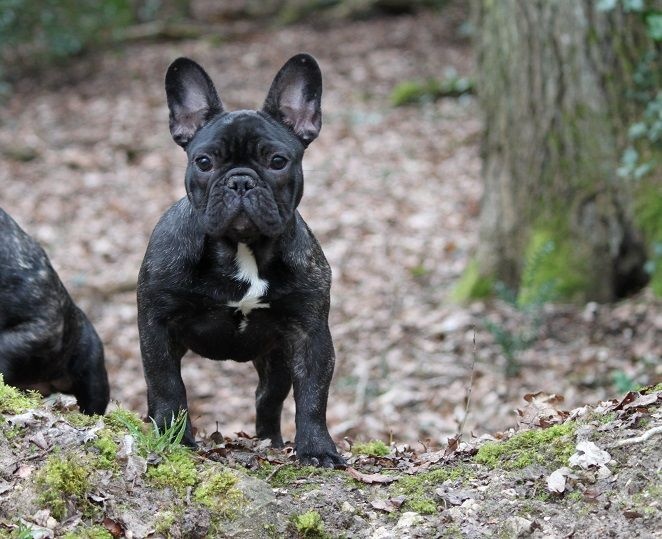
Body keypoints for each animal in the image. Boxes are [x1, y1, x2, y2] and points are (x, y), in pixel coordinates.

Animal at [139, 53, 348, 468]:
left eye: (278, 161)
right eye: (203, 162)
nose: (240, 181)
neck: (242, 249)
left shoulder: (310, 334)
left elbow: (313, 395)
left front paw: (317, 449)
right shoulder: (156, 323)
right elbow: (167, 384)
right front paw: (174, 438)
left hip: (276, 360)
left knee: (268, 399)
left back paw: (272, 442)